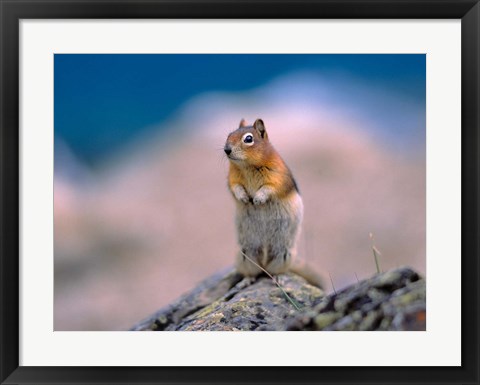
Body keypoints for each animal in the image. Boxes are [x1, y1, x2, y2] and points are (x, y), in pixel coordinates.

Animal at [224, 118, 304, 280]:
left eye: (248, 139)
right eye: (229, 134)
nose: (226, 150)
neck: (247, 166)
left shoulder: (277, 177)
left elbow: (269, 188)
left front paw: (258, 199)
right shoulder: (232, 178)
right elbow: (235, 187)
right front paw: (243, 197)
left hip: (284, 254)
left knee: (272, 272)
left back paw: (278, 278)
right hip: (246, 253)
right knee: (255, 271)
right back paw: (247, 280)